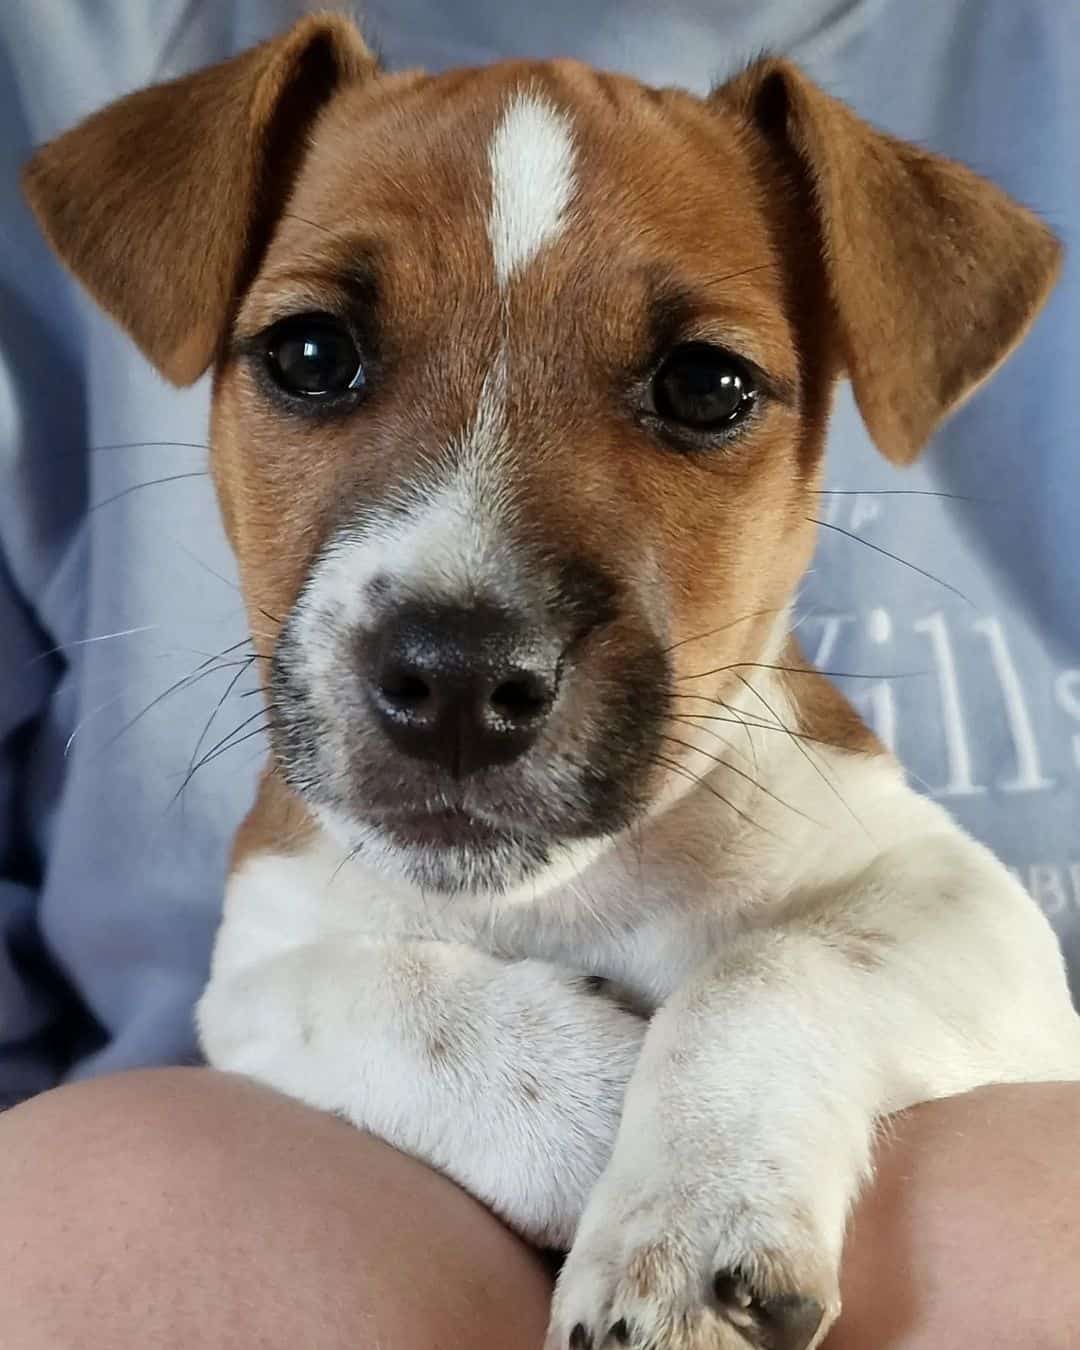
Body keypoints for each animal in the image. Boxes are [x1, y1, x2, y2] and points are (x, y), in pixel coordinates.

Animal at [25, 13, 1080, 1350]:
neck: (571, 889)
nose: (458, 679)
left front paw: (680, 1208)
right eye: (311, 354)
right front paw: (599, 1108)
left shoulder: (970, 913)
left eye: (707, 385)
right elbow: (380, 993)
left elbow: (769, 965)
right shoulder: (257, 965)